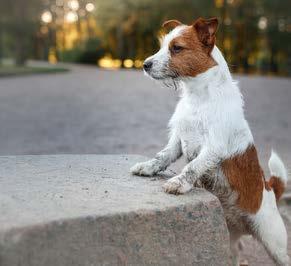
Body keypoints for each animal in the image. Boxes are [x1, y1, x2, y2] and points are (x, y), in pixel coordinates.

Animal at [131, 17, 290, 264]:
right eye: (162, 45)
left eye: (176, 48)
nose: (145, 64)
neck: (198, 96)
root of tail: (271, 190)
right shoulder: (177, 140)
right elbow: (162, 156)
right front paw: (148, 167)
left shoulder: (214, 146)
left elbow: (192, 167)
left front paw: (178, 183)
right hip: (231, 239)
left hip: (275, 246)